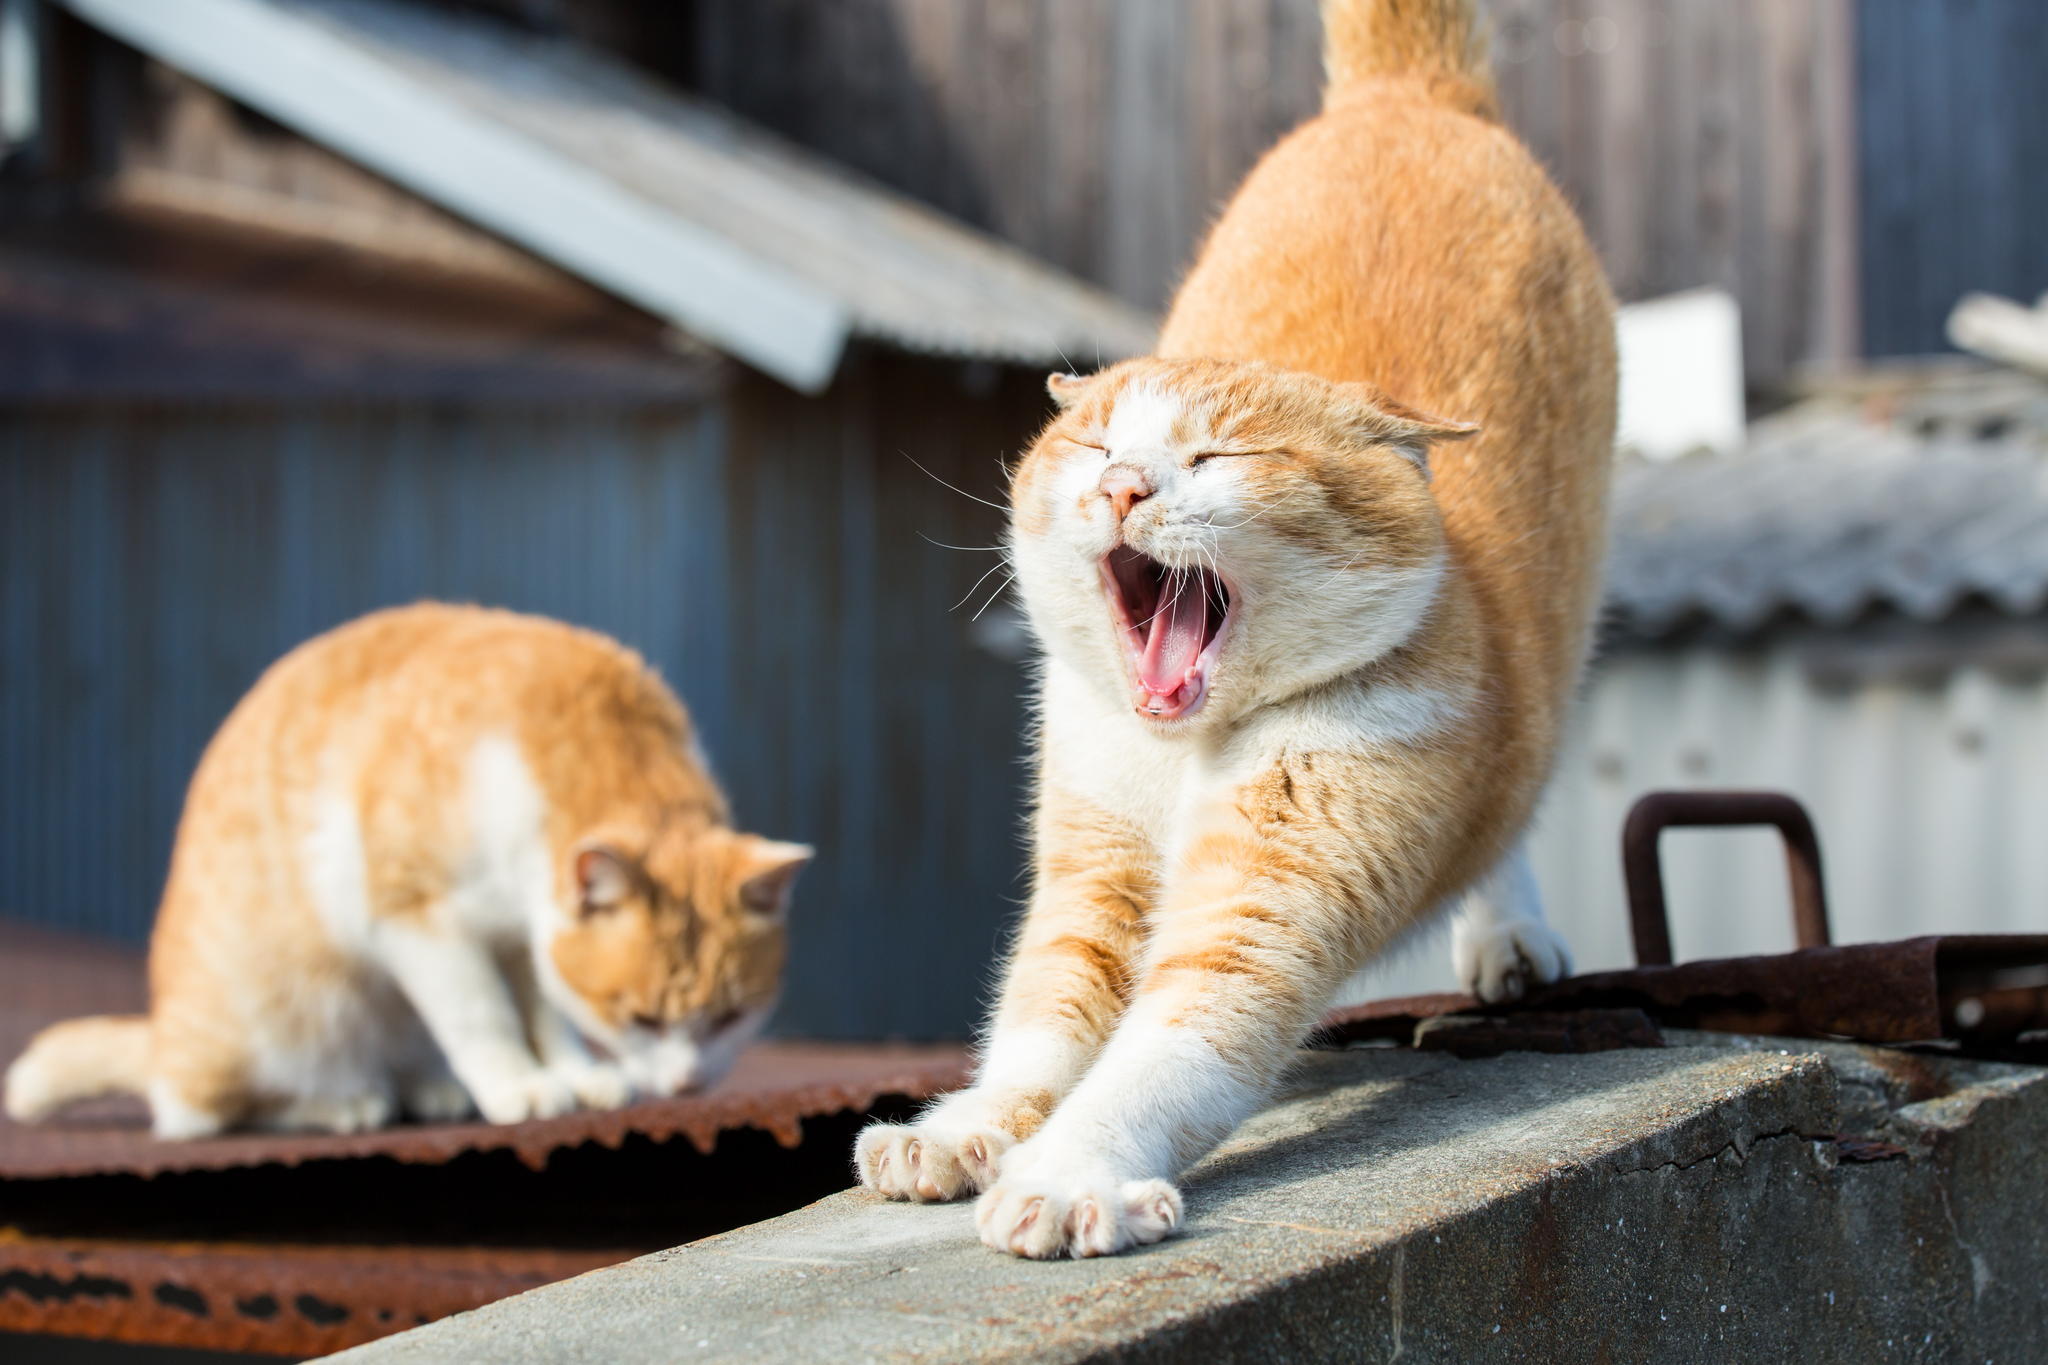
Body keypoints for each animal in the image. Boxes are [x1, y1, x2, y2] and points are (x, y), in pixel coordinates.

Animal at [8, 601, 806, 1137]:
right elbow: (484, 1013)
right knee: (200, 1105)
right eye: (639, 1017)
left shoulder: (527, 934)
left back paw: (429, 1089)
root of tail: (163, 1030)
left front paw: (579, 1077)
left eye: (732, 1016)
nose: (687, 1083)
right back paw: (343, 1102)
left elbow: (546, 1012)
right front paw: (522, 1086)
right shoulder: (415, 912)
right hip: (282, 1016)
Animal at [856, 0, 1605, 1260]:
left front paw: (1069, 1175)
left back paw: (1508, 936)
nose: (1124, 487)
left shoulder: (1272, 888)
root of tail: (1402, 98)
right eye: (1095, 445)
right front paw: (963, 1130)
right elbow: (1040, 1021)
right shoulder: (1093, 860)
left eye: (1216, 456)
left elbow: (1162, 1052)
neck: (1183, 753)